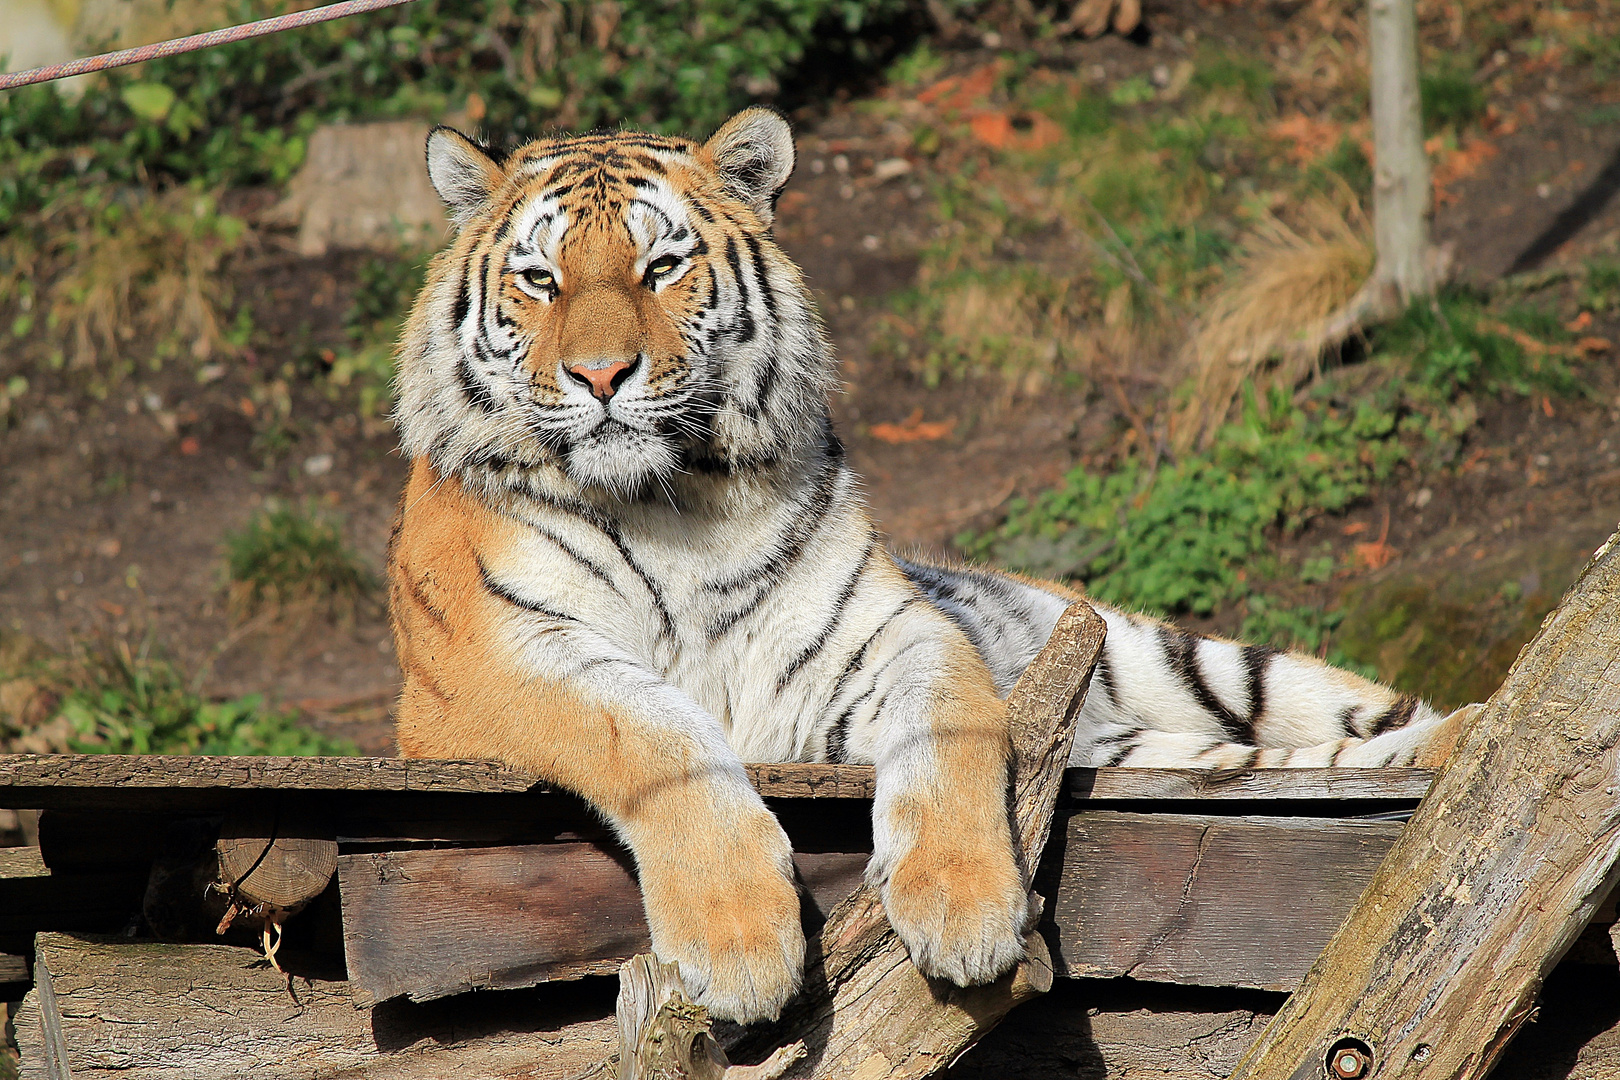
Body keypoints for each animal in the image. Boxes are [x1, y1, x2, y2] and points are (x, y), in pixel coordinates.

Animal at [385, 105, 1477, 1029]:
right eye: (541, 280)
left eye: (661, 267)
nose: (602, 375)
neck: (675, 504)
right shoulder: (498, 660)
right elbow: (656, 737)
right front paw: (738, 947)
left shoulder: (893, 629)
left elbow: (947, 733)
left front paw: (963, 913)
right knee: (1261, 762)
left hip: (1183, 659)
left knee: (1332, 725)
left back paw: (1465, 733)